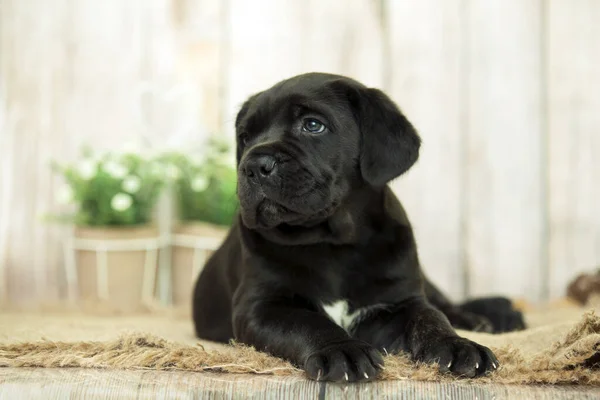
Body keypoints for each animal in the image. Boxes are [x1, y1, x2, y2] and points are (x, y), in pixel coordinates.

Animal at [193, 72, 524, 382]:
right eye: (245, 137)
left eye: (313, 125)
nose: (252, 165)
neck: (334, 242)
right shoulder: (260, 306)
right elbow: (307, 322)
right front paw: (342, 349)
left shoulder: (398, 301)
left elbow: (430, 317)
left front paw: (457, 345)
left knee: (444, 303)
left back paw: (489, 317)